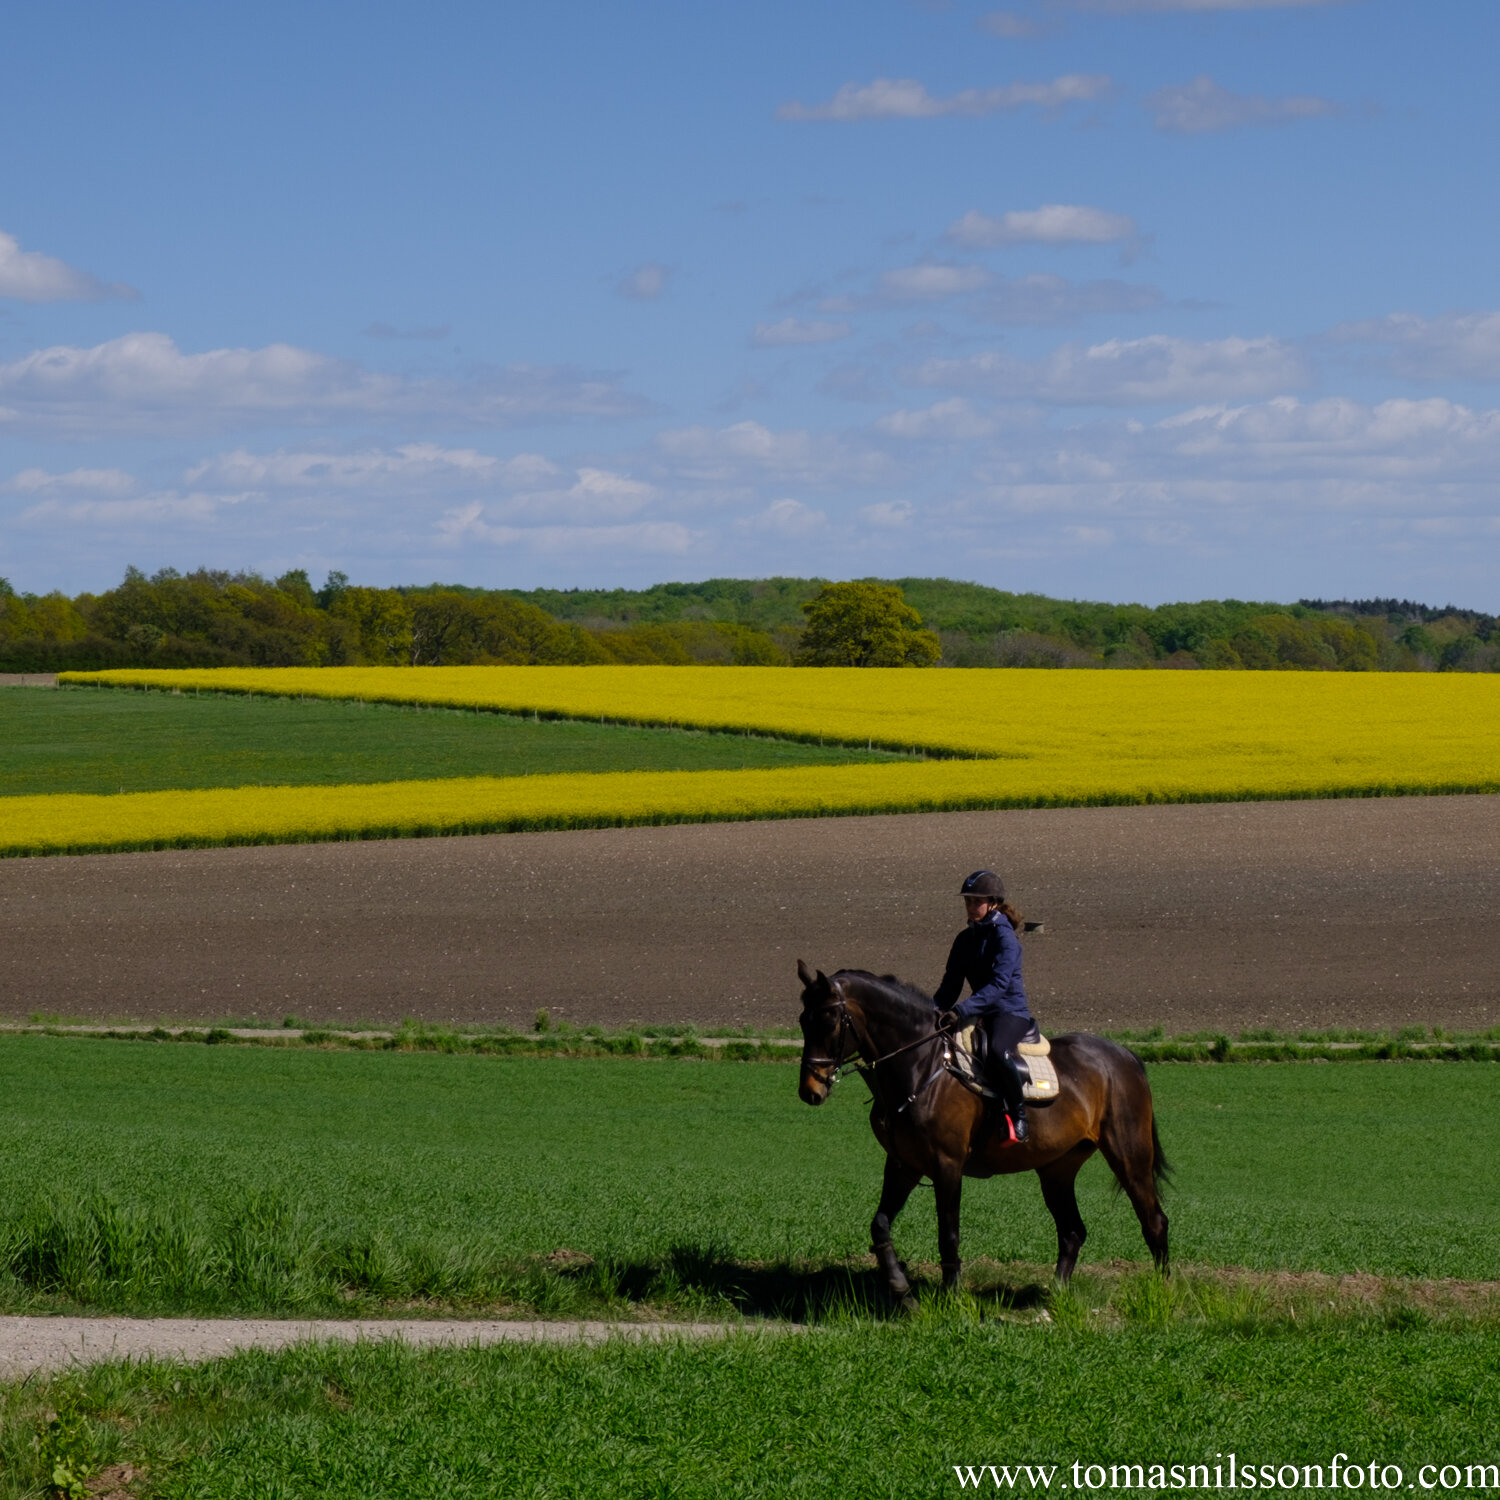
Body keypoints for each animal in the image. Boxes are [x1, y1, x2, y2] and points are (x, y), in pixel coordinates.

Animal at [798, 960, 1170, 1302]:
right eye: (803, 1020)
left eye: (829, 1019)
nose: (809, 1090)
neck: (921, 1066)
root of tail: (1125, 1056)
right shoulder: (903, 1164)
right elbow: (880, 1224)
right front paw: (899, 1285)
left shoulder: (947, 1165)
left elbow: (948, 1233)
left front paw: (951, 1296)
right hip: (1057, 1169)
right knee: (1072, 1231)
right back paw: (1056, 1296)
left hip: (1129, 1156)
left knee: (1154, 1220)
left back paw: (1163, 1292)